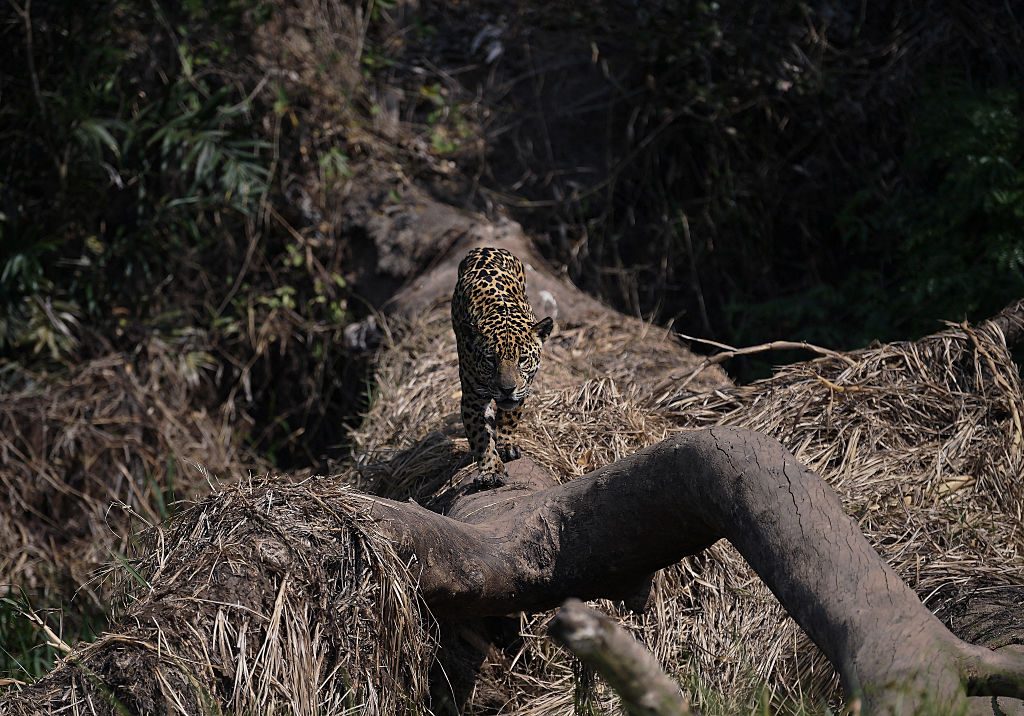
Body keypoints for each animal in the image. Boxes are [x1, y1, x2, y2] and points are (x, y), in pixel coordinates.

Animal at [451, 246, 554, 489]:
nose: (507, 389)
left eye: (522, 359)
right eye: (490, 360)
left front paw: (506, 444)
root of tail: (485, 248)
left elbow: (510, 415)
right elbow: (480, 437)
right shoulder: (471, 399)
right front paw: (490, 471)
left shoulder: (522, 389)